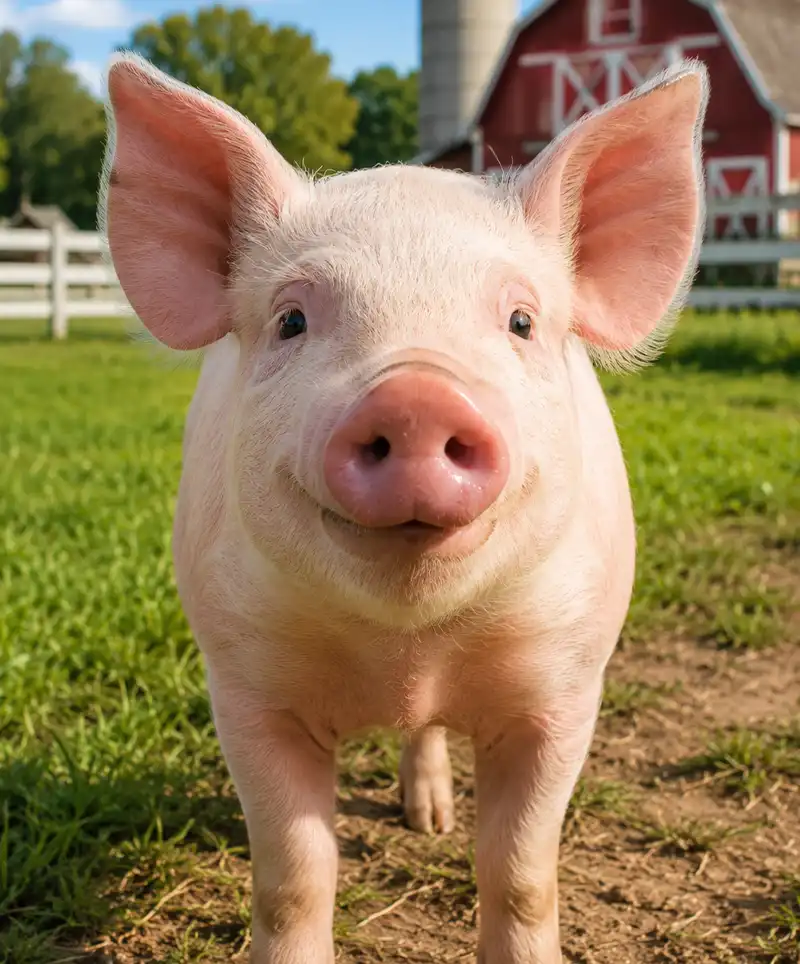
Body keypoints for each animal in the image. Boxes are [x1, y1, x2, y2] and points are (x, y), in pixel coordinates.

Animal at [100, 51, 708, 964]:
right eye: (291, 319)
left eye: (521, 320)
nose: (417, 396)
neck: (408, 648)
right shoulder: (245, 687)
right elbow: (292, 877)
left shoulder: (566, 686)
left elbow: (522, 873)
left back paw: (429, 823)